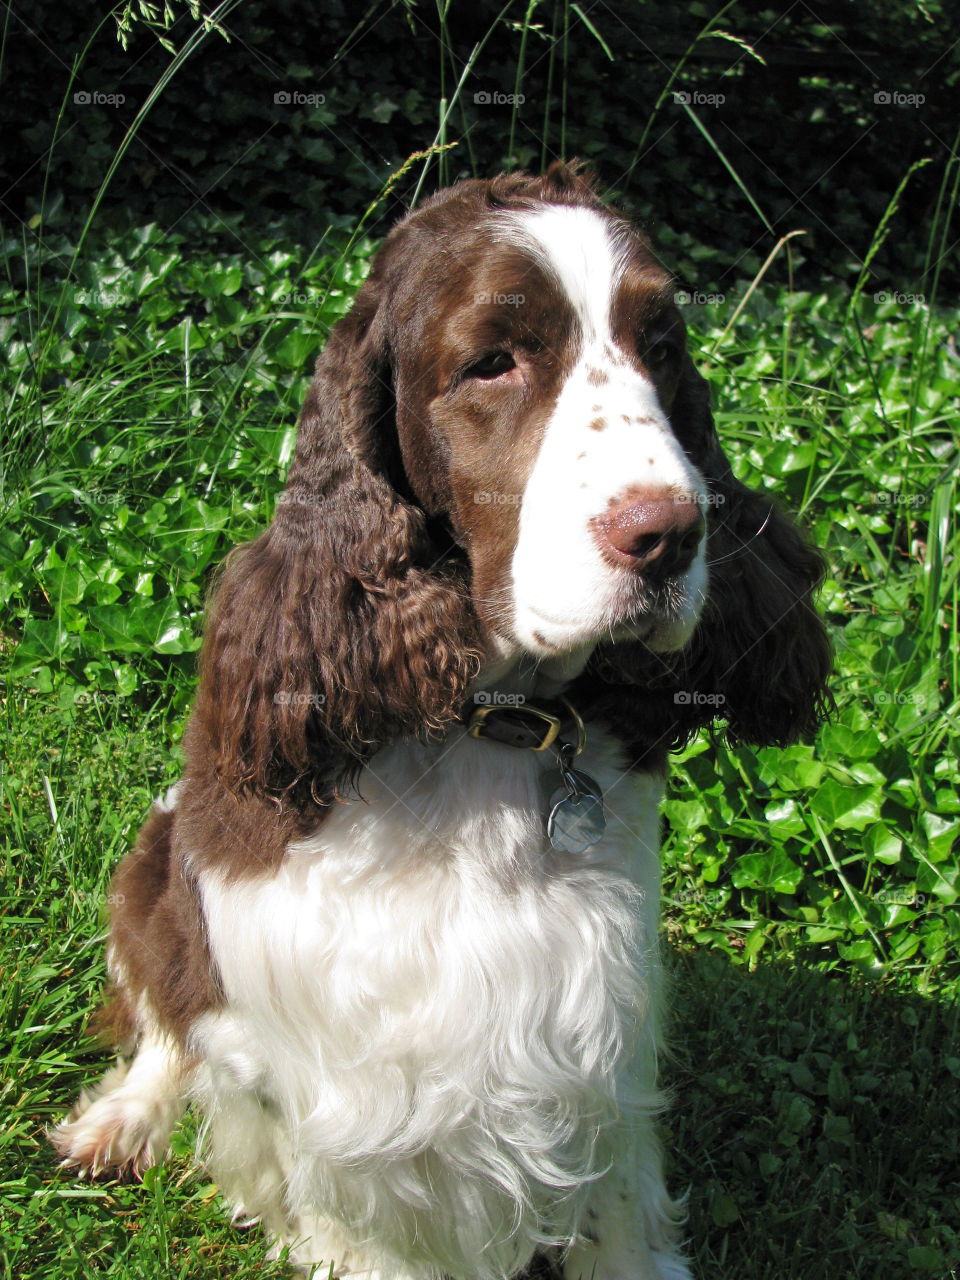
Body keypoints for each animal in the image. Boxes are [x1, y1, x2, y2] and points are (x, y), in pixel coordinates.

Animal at [54, 167, 834, 1280]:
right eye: (492, 360)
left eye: (663, 344)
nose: (671, 533)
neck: (484, 727)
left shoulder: (605, 1027)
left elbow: (621, 1198)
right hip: (163, 847)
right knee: (168, 1008)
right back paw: (121, 1118)